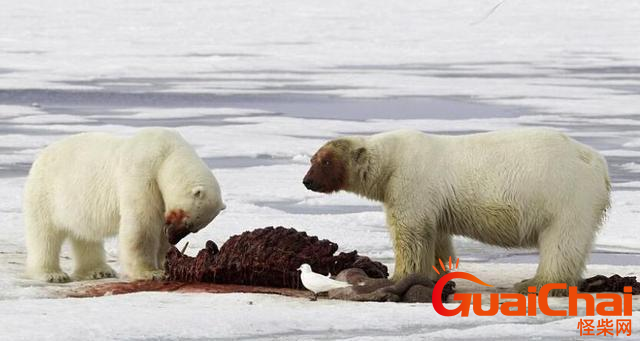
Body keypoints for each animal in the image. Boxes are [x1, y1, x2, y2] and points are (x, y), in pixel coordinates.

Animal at [23, 127, 225, 282]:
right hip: (46, 193)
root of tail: (41, 156)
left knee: (85, 235)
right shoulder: (142, 175)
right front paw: (151, 272)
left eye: (194, 229)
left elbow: (159, 231)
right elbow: (142, 226)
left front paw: (163, 264)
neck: (166, 154)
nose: (174, 238)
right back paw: (52, 274)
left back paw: (98, 271)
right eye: (185, 217)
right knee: (45, 234)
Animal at [302, 129, 612, 294]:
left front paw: (398, 278)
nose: (307, 181)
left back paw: (535, 283)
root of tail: (598, 164)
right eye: (312, 159)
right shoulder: (432, 202)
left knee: (560, 242)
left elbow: (410, 232)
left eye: (325, 161)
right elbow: (436, 235)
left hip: (564, 195)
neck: (391, 161)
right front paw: (437, 273)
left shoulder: (411, 183)